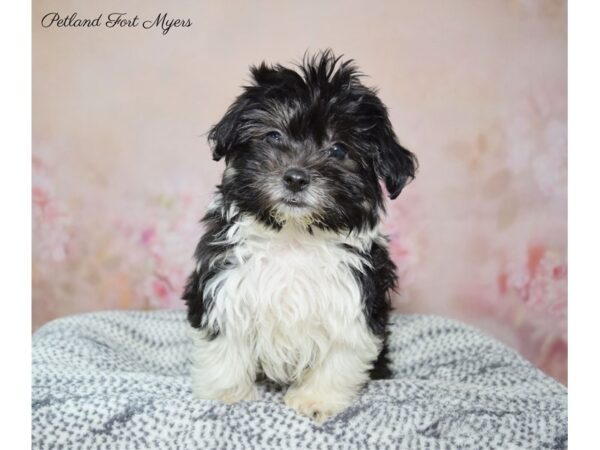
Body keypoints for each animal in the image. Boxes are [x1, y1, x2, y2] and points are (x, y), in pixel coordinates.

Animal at [183, 51, 418, 422]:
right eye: (273, 136)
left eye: (339, 150)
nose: (295, 178)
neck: (294, 236)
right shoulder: (223, 282)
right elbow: (224, 344)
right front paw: (227, 395)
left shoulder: (355, 298)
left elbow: (340, 356)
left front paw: (316, 399)